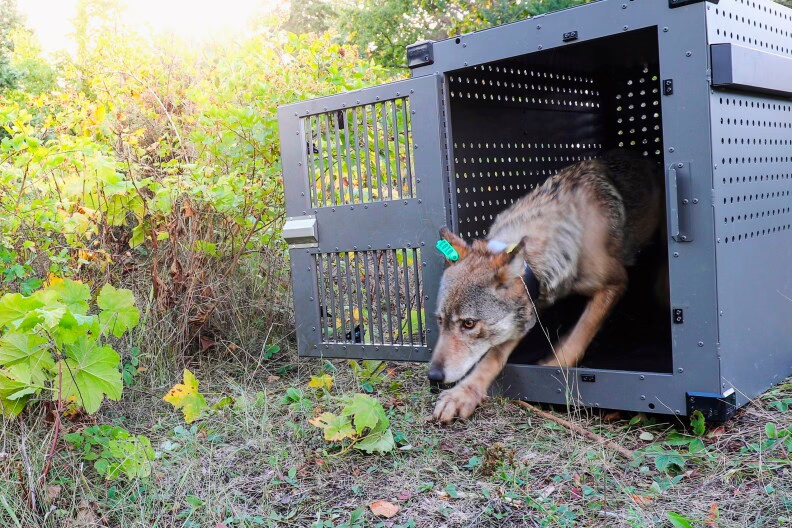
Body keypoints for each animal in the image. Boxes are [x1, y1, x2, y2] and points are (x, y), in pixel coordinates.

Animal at [429, 149, 664, 424]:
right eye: (440, 321)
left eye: (468, 324)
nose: (433, 376)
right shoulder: (529, 307)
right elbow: (492, 356)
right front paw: (463, 394)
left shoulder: (616, 282)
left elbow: (580, 333)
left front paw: (553, 367)